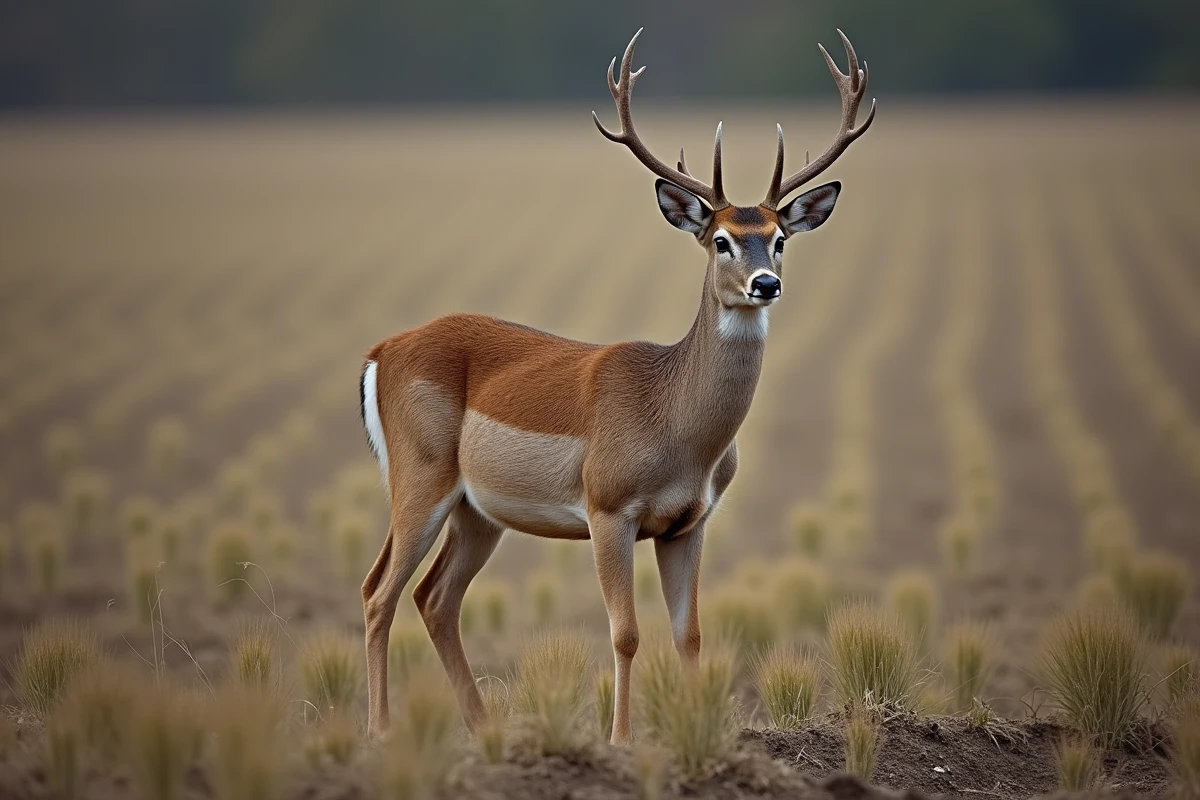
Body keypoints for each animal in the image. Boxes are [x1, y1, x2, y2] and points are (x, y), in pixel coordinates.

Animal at [359, 27, 874, 744]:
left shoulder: (689, 523)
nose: (765, 284)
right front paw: (621, 739)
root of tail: (383, 350)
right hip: (419, 476)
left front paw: (697, 733)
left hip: (476, 510)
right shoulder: (609, 509)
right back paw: (379, 732)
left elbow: (689, 634)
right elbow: (626, 633)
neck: (675, 424)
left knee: (433, 598)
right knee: (377, 592)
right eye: (720, 240)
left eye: (777, 239)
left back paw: (485, 731)